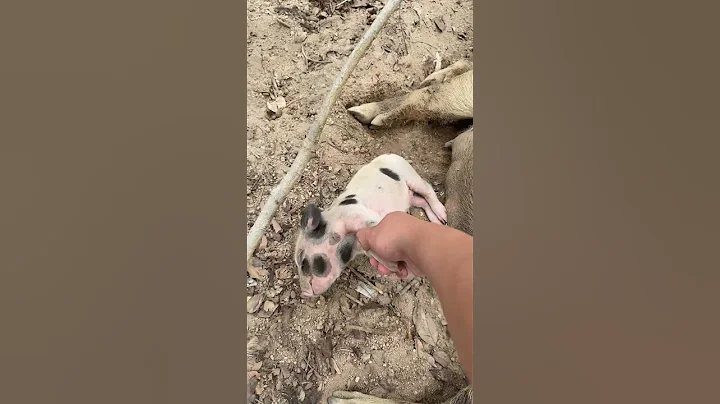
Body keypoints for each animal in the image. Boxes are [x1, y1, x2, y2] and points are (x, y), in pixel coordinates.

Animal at [293, 153, 447, 298]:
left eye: (303, 263)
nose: (304, 293)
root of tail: (390, 155)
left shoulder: (356, 214)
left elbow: (374, 224)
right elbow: (374, 252)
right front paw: (397, 268)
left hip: (411, 176)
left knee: (427, 189)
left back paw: (443, 216)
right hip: (410, 196)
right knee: (422, 201)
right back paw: (439, 222)